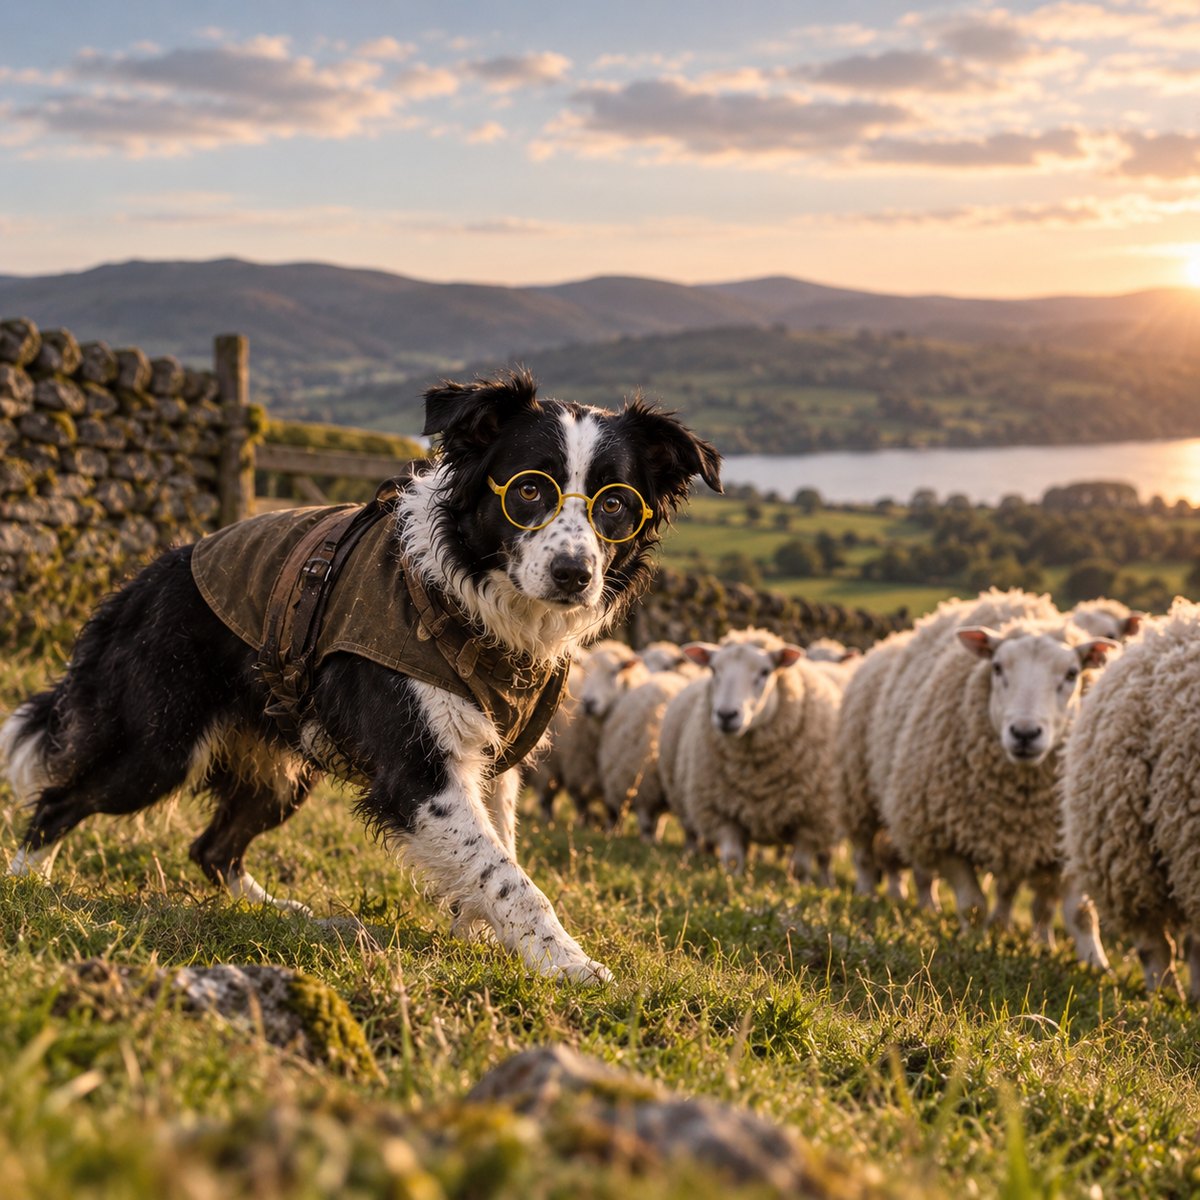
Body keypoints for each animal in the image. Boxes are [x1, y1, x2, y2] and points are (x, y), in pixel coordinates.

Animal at [667, 628, 842, 880]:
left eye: (765, 671)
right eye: (713, 669)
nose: (726, 715)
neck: (756, 778)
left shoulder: (812, 822)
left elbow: (799, 867)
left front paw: (799, 885)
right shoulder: (722, 814)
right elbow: (732, 859)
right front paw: (733, 883)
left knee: (825, 856)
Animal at [880, 605, 1117, 937]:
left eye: (1072, 674)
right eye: (997, 667)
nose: (1025, 733)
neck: (1022, 796)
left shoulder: (1069, 842)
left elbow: (1081, 915)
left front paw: (1093, 953)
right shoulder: (944, 839)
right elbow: (972, 905)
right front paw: (971, 942)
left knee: (1008, 889)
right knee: (924, 875)